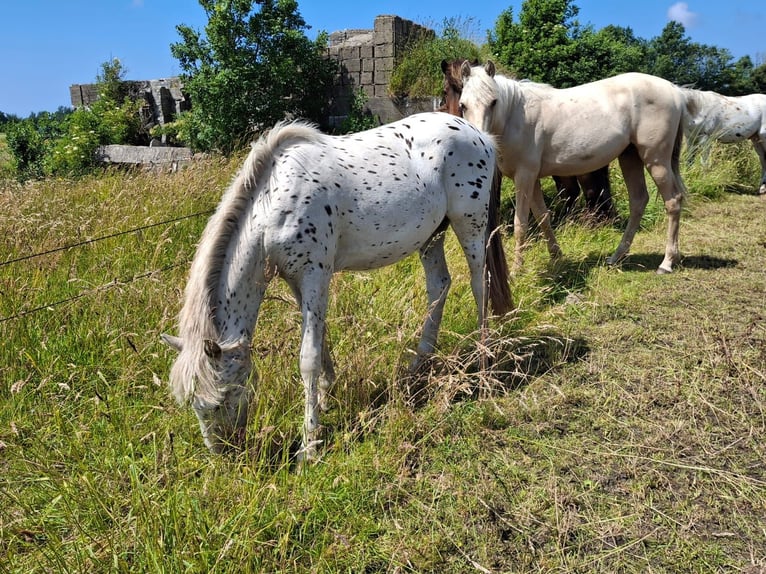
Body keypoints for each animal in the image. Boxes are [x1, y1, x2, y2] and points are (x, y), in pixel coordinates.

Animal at [160, 113, 516, 464]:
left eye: (223, 397)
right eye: (193, 403)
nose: (224, 453)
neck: (275, 201)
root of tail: (480, 135)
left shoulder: (315, 274)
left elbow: (308, 357)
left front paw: (310, 444)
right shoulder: (297, 281)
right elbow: (321, 338)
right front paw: (326, 397)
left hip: (470, 223)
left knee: (480, 285)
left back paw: (485, 364)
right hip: (432, 235)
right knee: (439, 286)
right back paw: (418, 367)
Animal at [460, 60, 688, 274]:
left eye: (494, 102)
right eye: (463, 105)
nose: (478, 143)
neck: (515, 116)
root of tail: (675, 91)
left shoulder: (524, 176)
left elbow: (521, 224)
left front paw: (516, 270)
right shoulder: (532, 179)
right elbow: (543, 217)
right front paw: (556, 256)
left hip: (656, 160)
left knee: (672, 201)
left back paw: (667, 262)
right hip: (630, 157)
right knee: (639, 201)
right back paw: (617, 257)